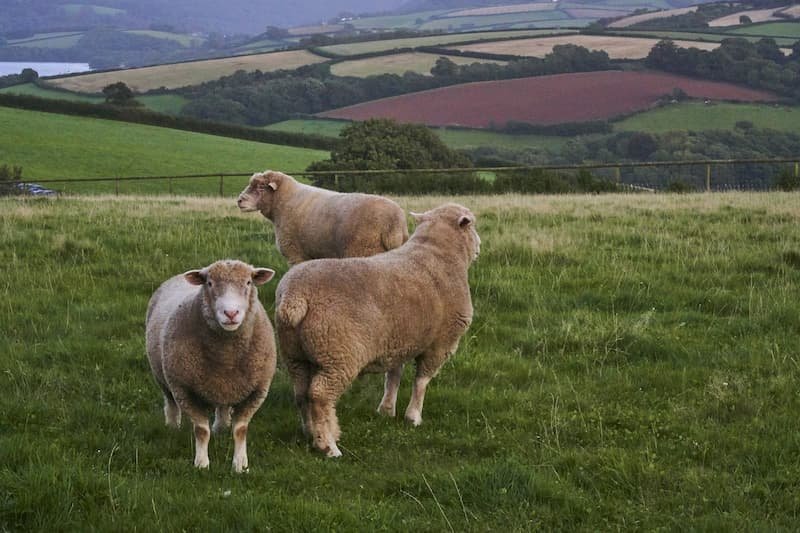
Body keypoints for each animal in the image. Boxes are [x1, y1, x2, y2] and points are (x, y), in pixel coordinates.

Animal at [147, 258, 278, 470]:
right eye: (209, 283)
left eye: (248, 282)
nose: (231, 313)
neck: (226, 358)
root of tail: (178, 276)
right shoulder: (185, 390)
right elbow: (201, 430)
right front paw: (201, 463)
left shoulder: (257, 391)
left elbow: (241, 429)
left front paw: (240, 464)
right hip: (162, 377)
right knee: (171, 402)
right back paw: (173, 426)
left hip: (225, 387)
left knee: (223, 406)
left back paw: (221, 427)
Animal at [236, 170, 410, 266]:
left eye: (260, 187)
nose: (239, 200)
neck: (282, 202)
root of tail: (394, 222)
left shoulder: (295, 254)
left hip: (364, 250)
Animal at [274, 202, 482, 456]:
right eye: (472, 225)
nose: (480, 246)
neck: (438, 252)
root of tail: (295, 296)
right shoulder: (442, 341)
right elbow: (422, 381)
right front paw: (413, 417)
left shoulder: (398, 339)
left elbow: (393, 375)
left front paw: (387, 410)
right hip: (339, 355)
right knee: (320, 396)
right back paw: (329, 446)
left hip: (295, 354)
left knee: (301, 392)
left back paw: (309, 433)